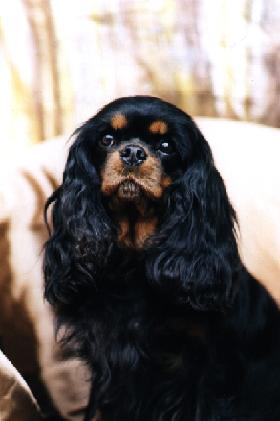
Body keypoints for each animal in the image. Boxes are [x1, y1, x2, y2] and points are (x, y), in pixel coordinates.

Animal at [42, 96, 280, 420]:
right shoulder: (108, 363)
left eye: (166, 146)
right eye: (107, 139)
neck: (134, 262)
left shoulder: (204, 374)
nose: (132, 152)